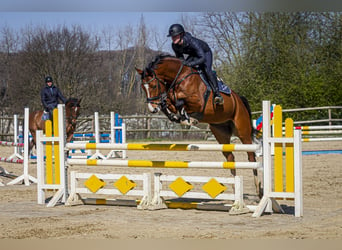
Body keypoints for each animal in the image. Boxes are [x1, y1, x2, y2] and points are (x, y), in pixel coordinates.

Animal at [136, 55, 262, 199]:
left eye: (153, 85)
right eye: (142, 87)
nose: (152, 109)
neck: (180, 77)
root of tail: (239, 99)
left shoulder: (198, 102)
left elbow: (179, 102)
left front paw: (188, 119)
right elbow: (169, 103)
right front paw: (178, 116)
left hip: (243, 131)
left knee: (251, 157)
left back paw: (258, 189)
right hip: (220, 132)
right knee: (230, 157)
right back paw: (235, 189)